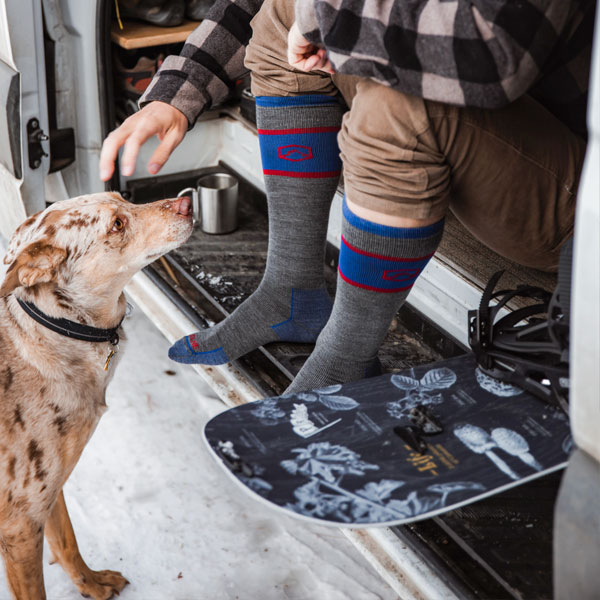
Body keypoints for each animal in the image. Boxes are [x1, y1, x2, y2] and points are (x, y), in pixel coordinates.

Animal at [0, 193, 192, 600]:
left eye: (123, 198)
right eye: (117, 224)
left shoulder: (48, 491)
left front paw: (90, 583)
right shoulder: (18, 521)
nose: (187, 202)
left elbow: (67, 541)